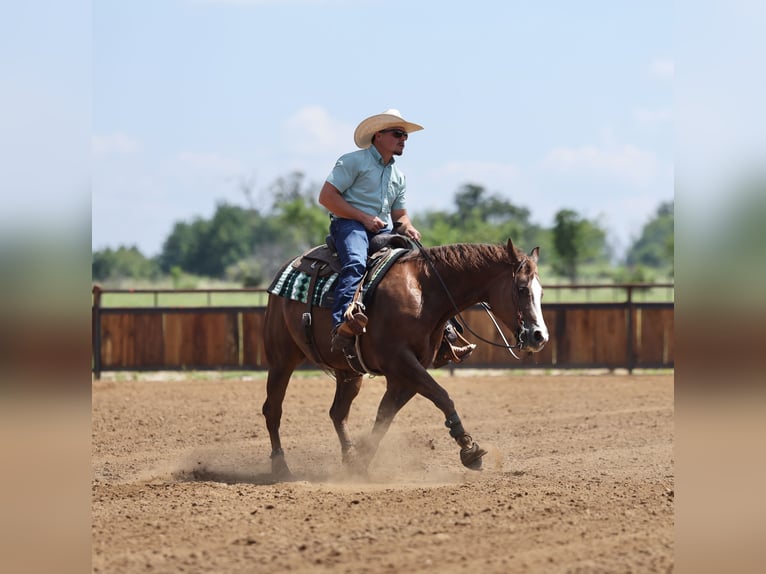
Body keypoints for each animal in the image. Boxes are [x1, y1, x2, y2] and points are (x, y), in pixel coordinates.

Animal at [261, 238, 549, 479]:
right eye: (522, 288)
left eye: (541, 292)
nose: (539, 336)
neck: (425, 293)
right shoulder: (400, 362)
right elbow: (442, 395)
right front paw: (468, 448)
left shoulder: (405, 374)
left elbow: (384, 417)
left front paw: (361, 464)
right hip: (281, 360)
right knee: (273, 409)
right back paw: (281, 467)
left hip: (350, 372)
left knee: (337, 413)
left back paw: (348, 458)